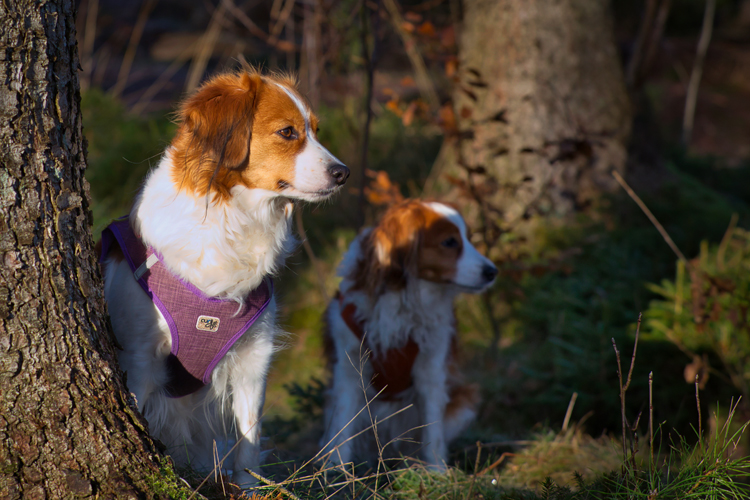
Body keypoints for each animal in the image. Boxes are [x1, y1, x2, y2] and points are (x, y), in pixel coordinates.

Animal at [97, 68, 352, 486]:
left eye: (316, 130)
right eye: (287, 132)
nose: (343, 173)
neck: (231, 219)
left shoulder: (253, 358)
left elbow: (249, 438)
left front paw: (248, 488)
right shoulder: (139, 360)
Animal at [320, 198, 496, 468]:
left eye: (467, 238)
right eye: (449, 242)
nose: (492, 272)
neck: (402, 297)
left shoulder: (431, 369)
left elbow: (433, 430)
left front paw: (437, 471)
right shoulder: (348, 370)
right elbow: (342, 426)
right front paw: (335, 469)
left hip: (464, 400)